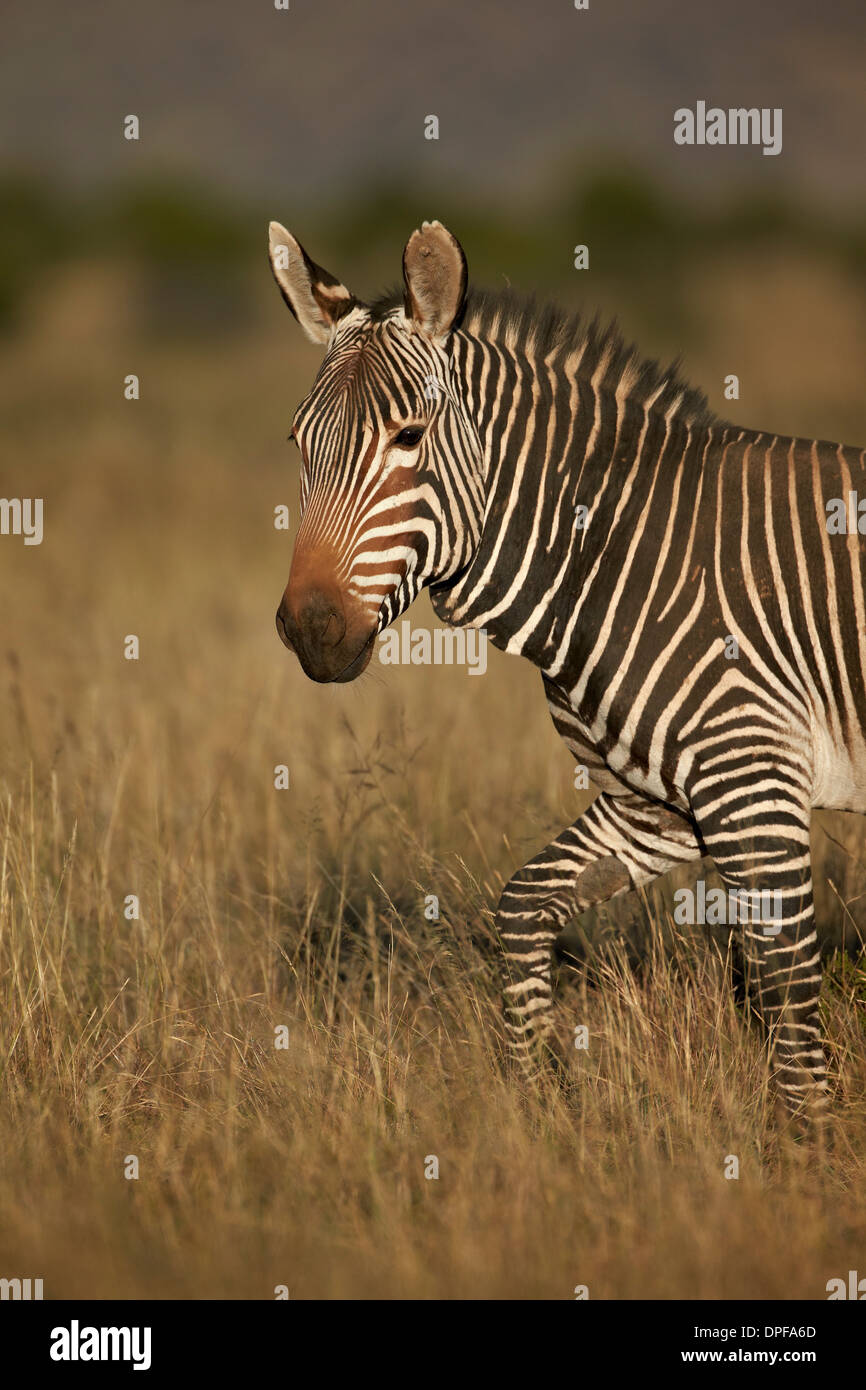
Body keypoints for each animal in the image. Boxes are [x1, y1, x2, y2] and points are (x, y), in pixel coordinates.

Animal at [268, 216, 866, 1126]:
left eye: (409, 437)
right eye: (299, 445)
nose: (310, 631)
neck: (616, 551)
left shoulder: (752, 781)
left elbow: (786, 985)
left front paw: (813, 1147)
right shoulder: (656, 805)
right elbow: (520, 908)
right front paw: (540, 1102)